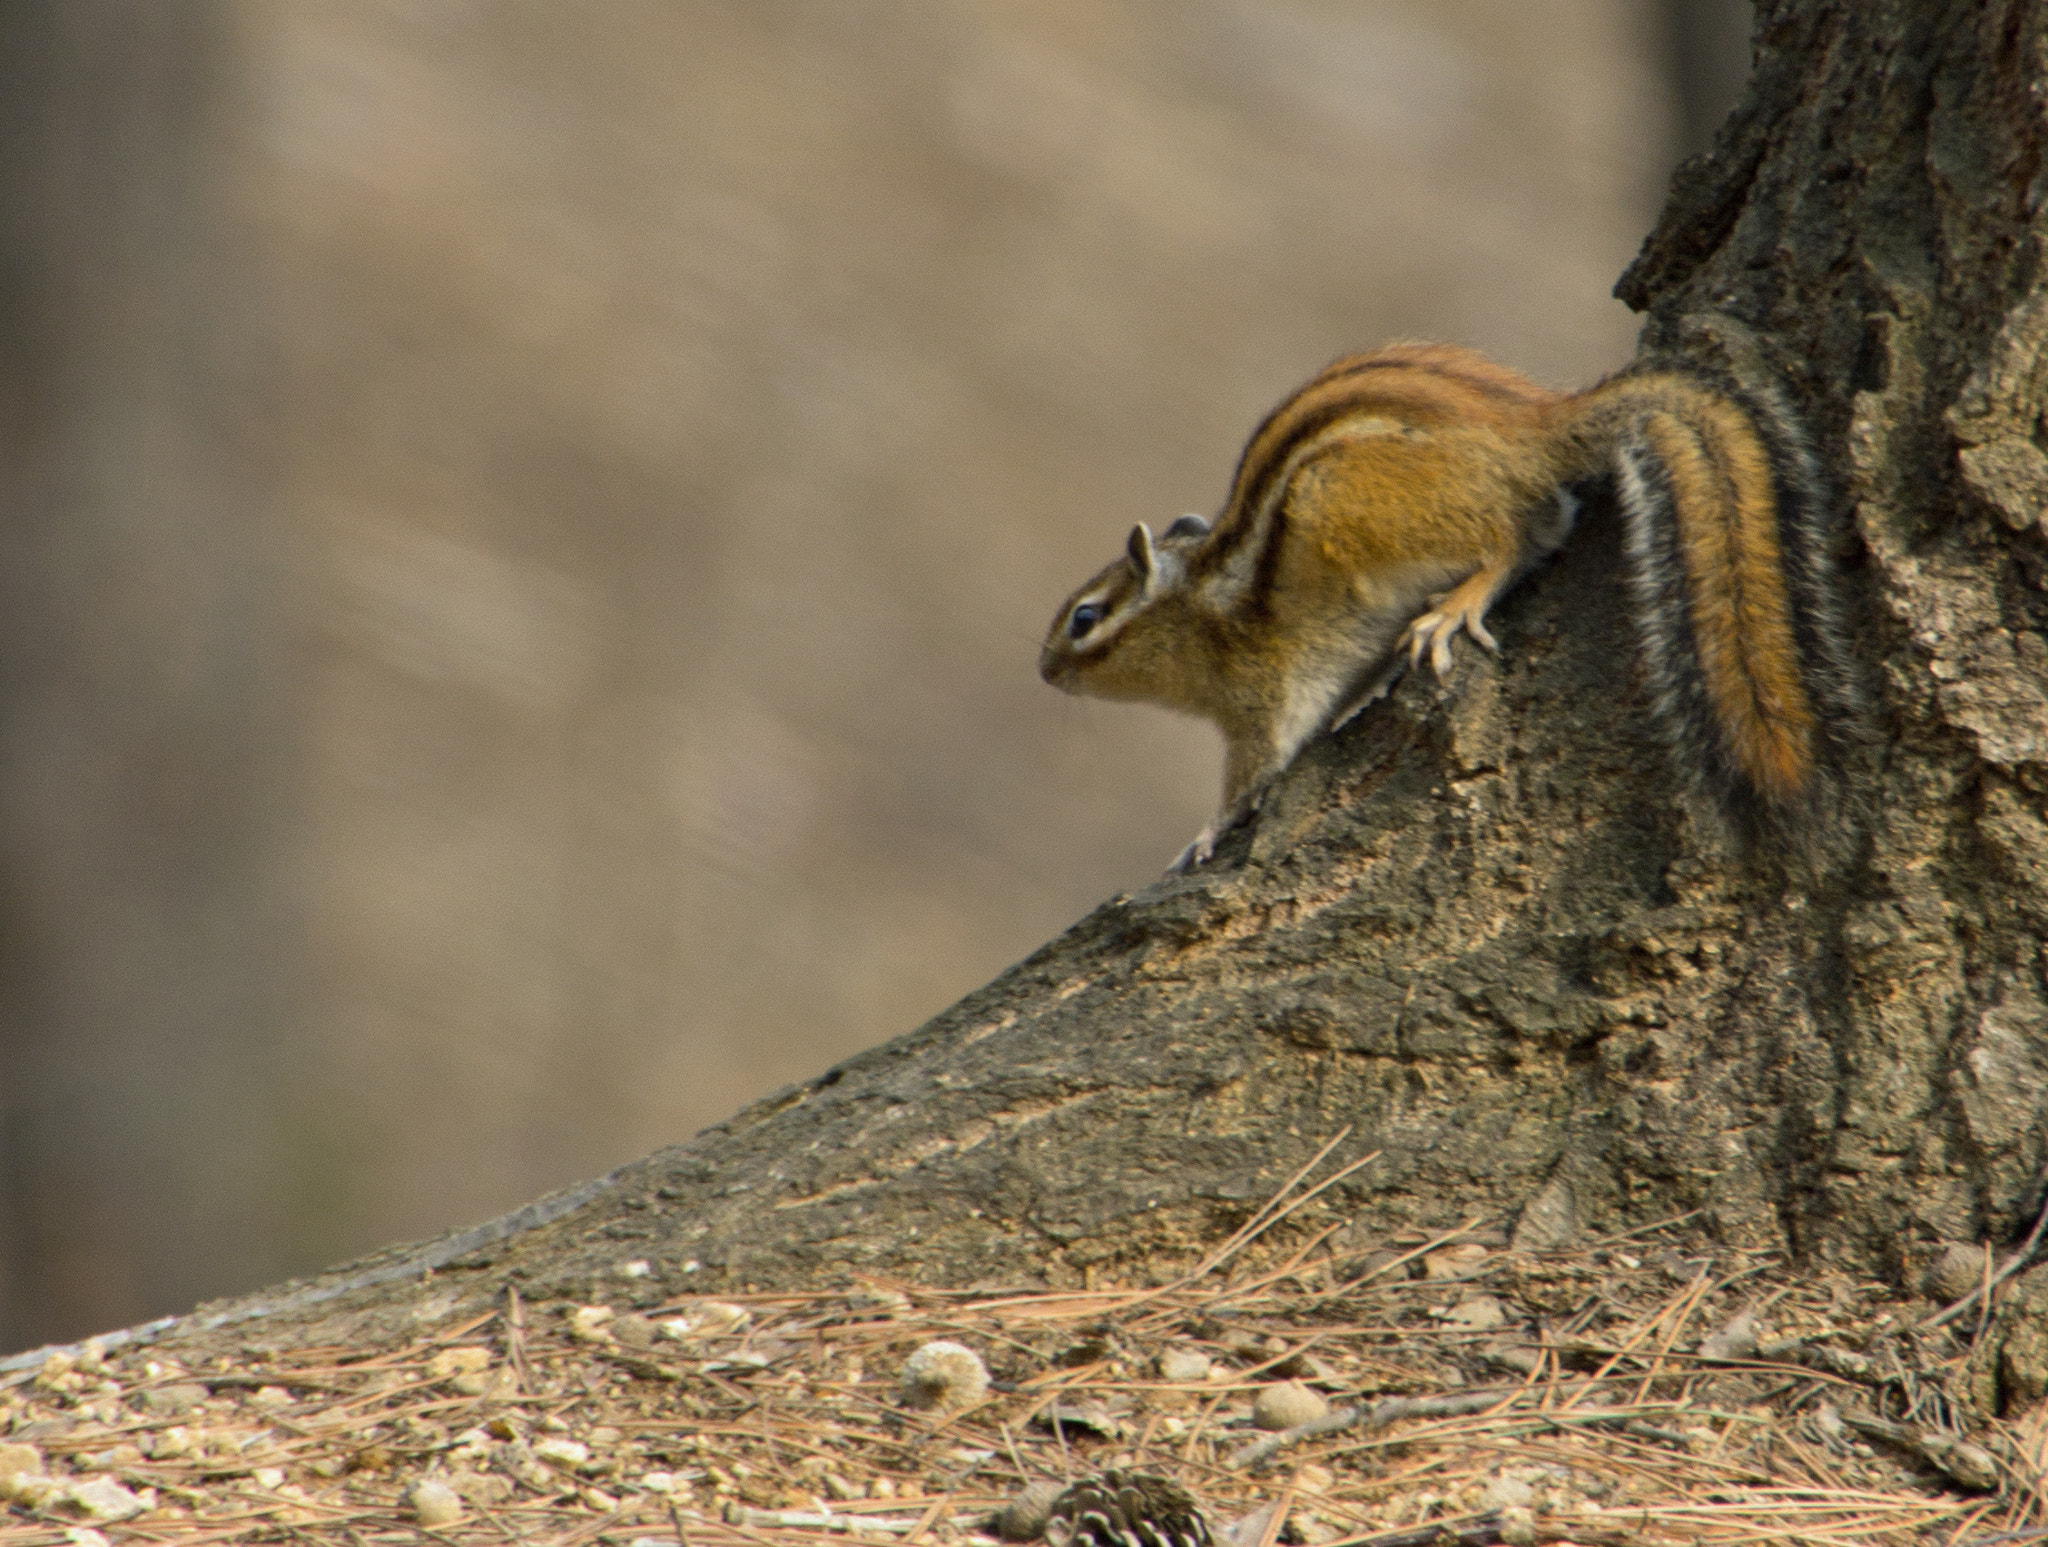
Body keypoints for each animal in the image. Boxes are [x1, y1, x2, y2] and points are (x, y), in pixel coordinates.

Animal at [1039, 319, 1860, 871]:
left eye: (1084, 617)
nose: (1044, 673)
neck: (1198, 609)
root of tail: (1532, 427)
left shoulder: (1262, 705)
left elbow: (1250, 777)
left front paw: (1204, 835)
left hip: (1356, 501)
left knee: (1514, 535)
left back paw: (1453, 608)